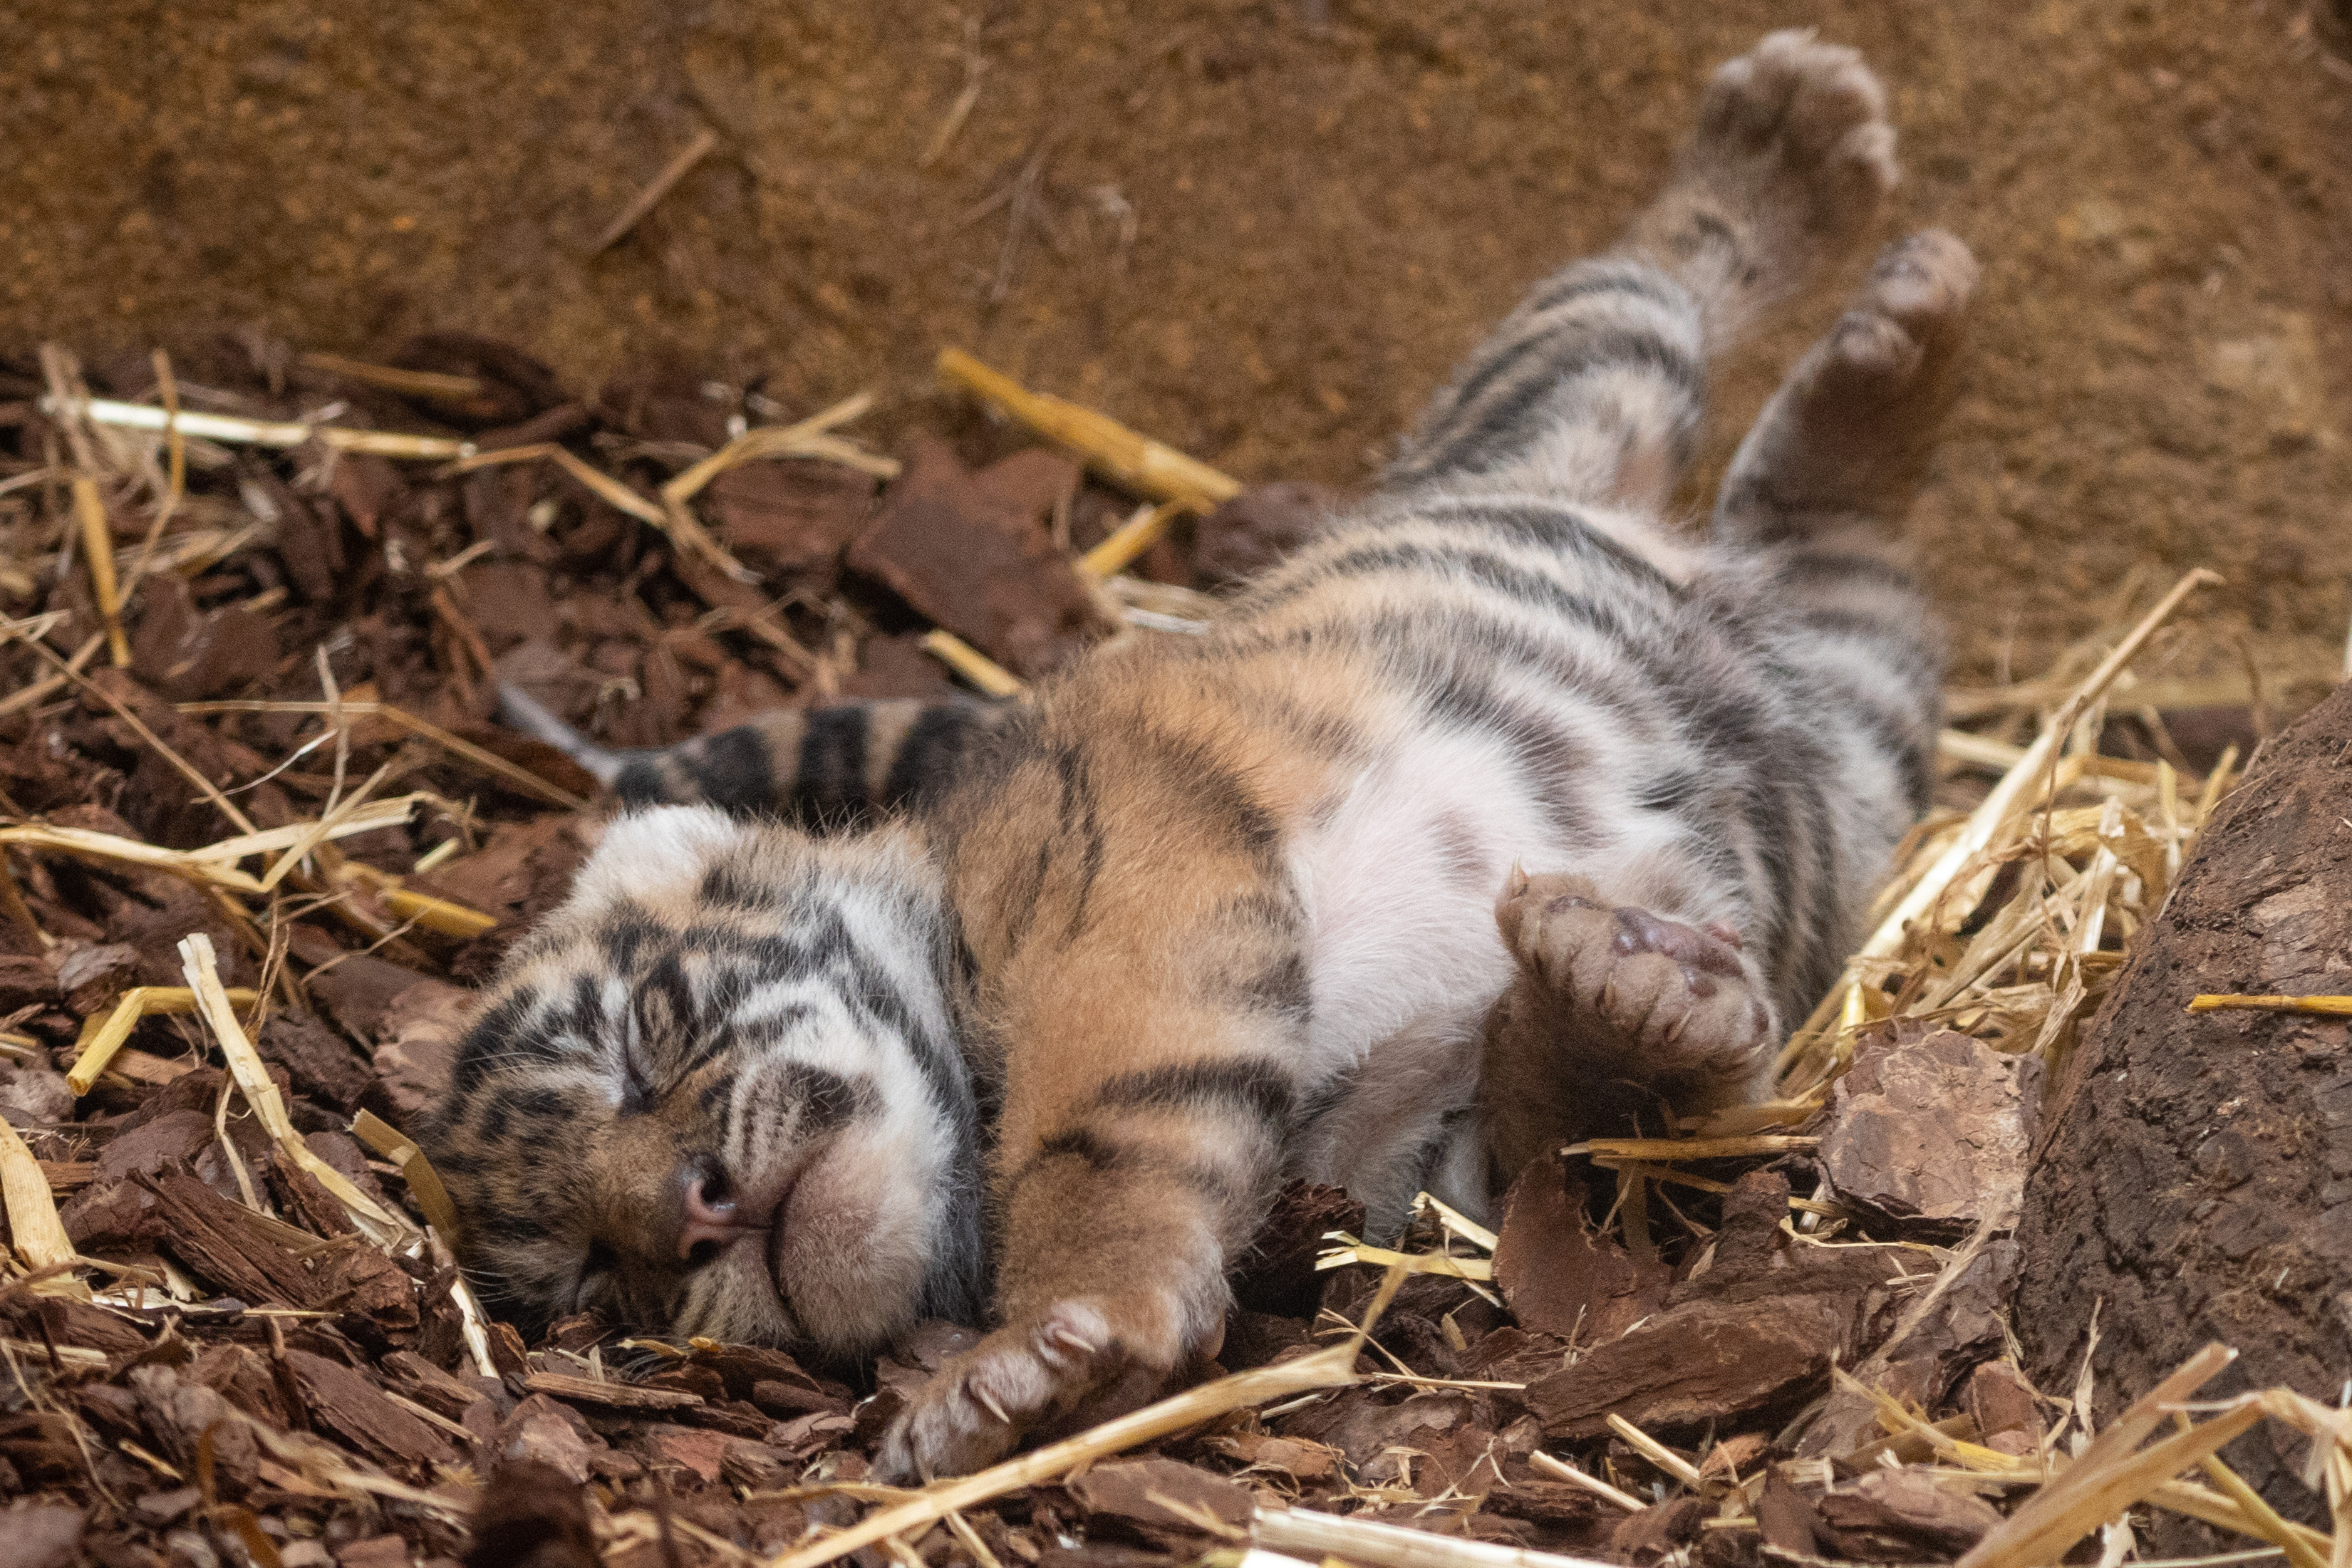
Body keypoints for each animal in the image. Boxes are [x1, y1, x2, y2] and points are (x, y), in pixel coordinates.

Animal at [421, 30, 1976, 1483]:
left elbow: (1098, 1139)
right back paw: (1891, 346)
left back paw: (1796, 150)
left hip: (1570, 402)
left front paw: (1038, 1351)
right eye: (595, 1275)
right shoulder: (1398, 1171)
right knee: (1847, 534)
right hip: (1858, 718)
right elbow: (1549, 1127)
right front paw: (1623, 1003)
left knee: (1657, 281)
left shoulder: (1119, 866)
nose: (691, 1211)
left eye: (646, 1041)